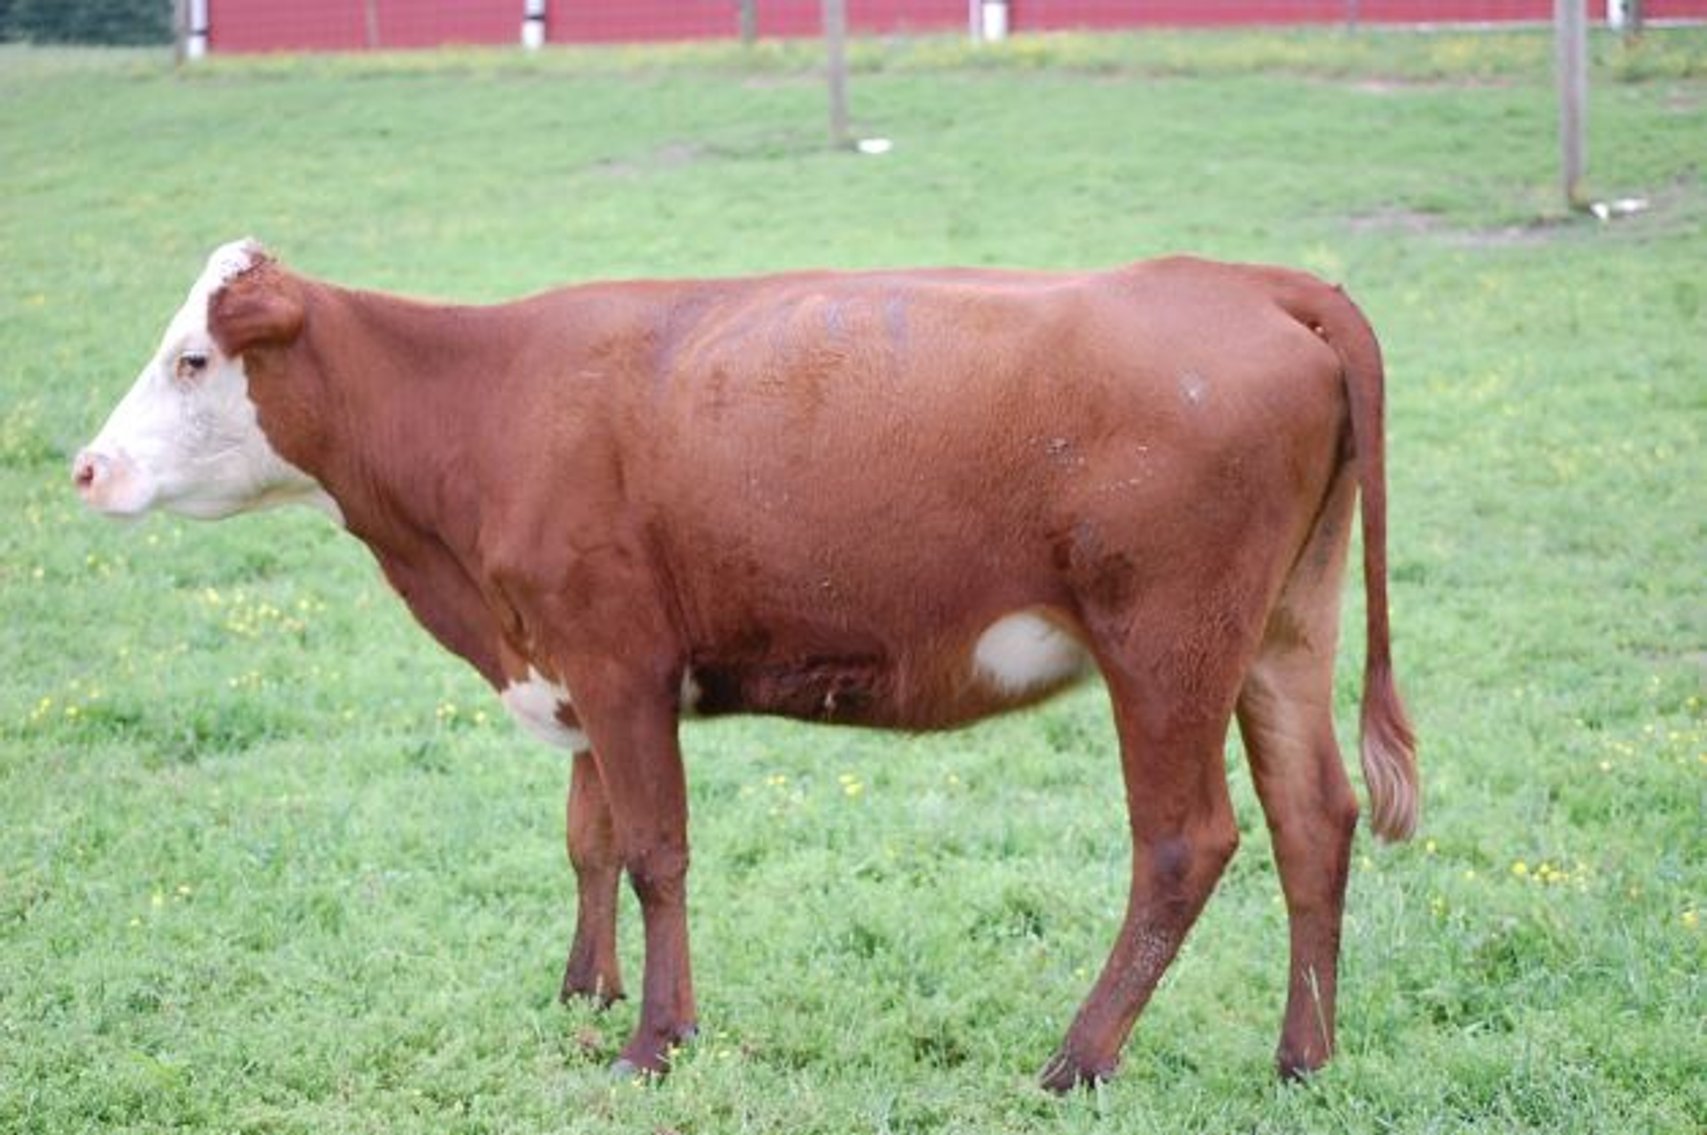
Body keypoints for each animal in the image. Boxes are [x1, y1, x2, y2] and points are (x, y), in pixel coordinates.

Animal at [74, 240, 1417, 1089]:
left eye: (193, 359)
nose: (87, 467)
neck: (489, 404)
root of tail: (1261, 283)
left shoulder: (618, 658)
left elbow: (655, 850)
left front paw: (655, 1042)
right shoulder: (578, 660)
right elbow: (590, 837)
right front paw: (585, 994)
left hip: (1167, 645)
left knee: (1188, 840)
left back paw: (1079, 1058)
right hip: (1283, 628)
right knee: (1314, 816)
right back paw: (1303, 1058)